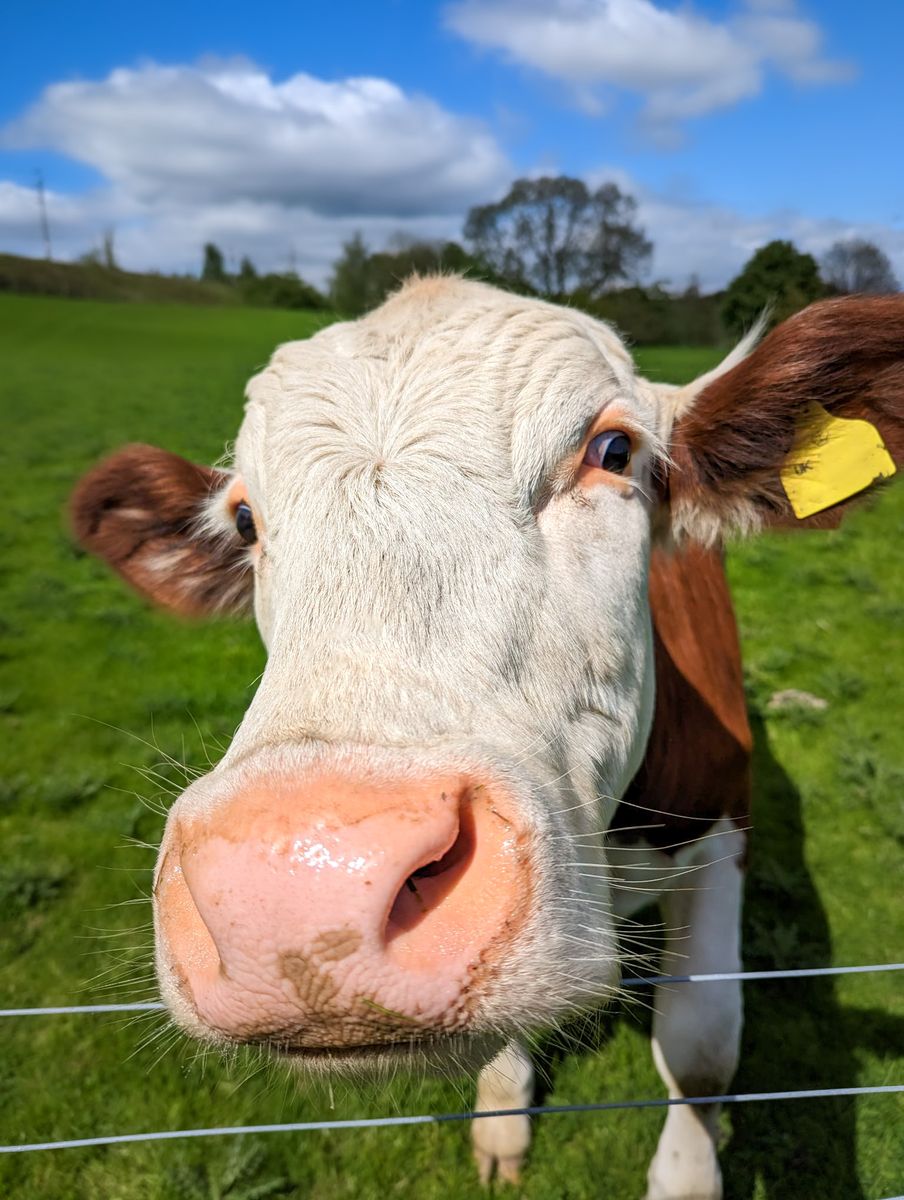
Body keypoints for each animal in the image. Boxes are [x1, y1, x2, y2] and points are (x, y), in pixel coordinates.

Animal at [72, 280, 902, 1200]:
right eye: (246, 519)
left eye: (614, 450)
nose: (295, 893)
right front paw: (503, 1120)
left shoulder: (725, 830)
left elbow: (702, 1044)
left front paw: (689, 1169)